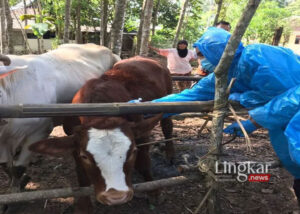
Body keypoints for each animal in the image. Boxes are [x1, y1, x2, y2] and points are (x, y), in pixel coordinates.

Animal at [28, 56, 173, 213]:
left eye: (133, 152)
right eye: (85, 157)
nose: (116, 197)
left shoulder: (140, 132)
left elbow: (144, 163)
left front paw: (153, 191)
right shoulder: (74, 143)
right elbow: (81, 174)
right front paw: (84, 206)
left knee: (167, 127)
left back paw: (170, 154)